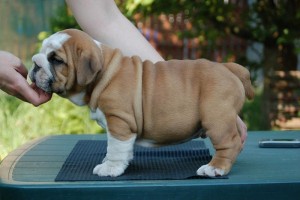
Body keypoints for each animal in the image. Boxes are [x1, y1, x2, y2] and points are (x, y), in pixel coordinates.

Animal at [29, 28, 255, 177]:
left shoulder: (119, 121)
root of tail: (228, 67)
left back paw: (215, 168)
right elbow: (121, 149)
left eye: (56, 60)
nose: (34, 62)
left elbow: (115, 148)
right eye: (42, 52)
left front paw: (110, 168)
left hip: (216, 118)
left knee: (229, 143)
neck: (104, 73)